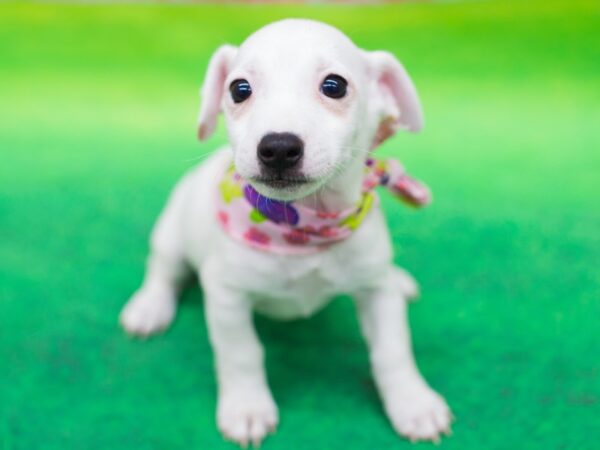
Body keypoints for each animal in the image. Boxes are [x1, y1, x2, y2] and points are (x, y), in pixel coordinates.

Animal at [120, 18, 450, 446]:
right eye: (239, 89)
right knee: (163, 271)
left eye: (334, 86)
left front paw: (413, 403)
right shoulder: (227, 298)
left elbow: (393, 351)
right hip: (171, 235)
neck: (301, 230)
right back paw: (149, 307)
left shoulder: (377, 292)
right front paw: (247, 407)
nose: (277, 147)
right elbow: (242, 354)